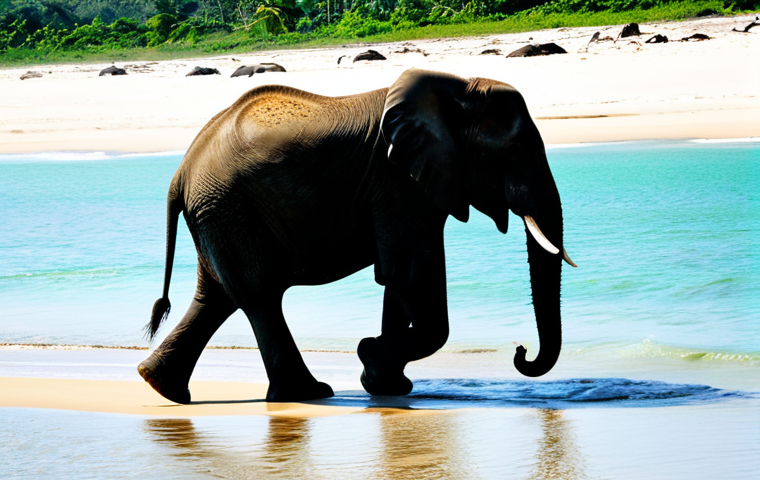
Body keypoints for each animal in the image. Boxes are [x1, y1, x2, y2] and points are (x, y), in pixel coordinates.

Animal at [138, 68, 575, 405]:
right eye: (516, 152)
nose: (520, 350)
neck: (459, 89)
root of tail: (181, 173)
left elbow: (397, 278)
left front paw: (385, 382)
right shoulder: (397, 182)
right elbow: (408, 275)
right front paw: (371, 357)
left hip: (216, 212)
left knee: (216, 297)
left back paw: (161, 387)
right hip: (227, 207)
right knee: (259, 295)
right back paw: (308, 394)